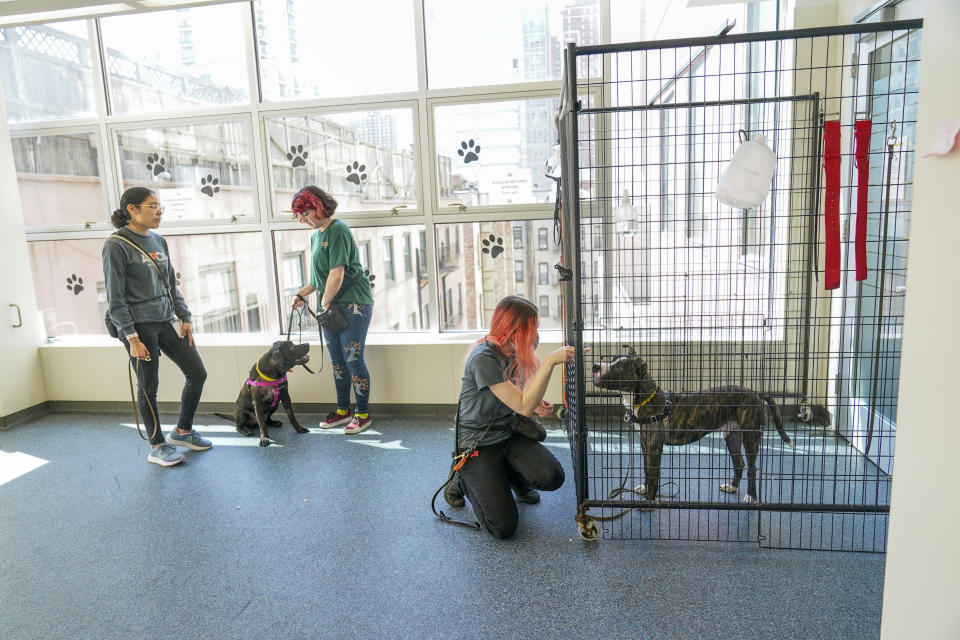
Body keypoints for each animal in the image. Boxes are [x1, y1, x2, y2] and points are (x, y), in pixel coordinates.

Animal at [592, 344, 796, 504]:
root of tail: (757, 393)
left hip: (751, 436)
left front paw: (649, 501)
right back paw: (732, 487)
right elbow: (646, 469)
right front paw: (645, 488)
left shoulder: (654, 446)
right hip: (732, 435)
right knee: (739, 463)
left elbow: (654, 474)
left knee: (752, 467)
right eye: (612, 359)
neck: (643, 397)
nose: (594, 366)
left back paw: (751, 496)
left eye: (619, 366)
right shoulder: (644, 443)